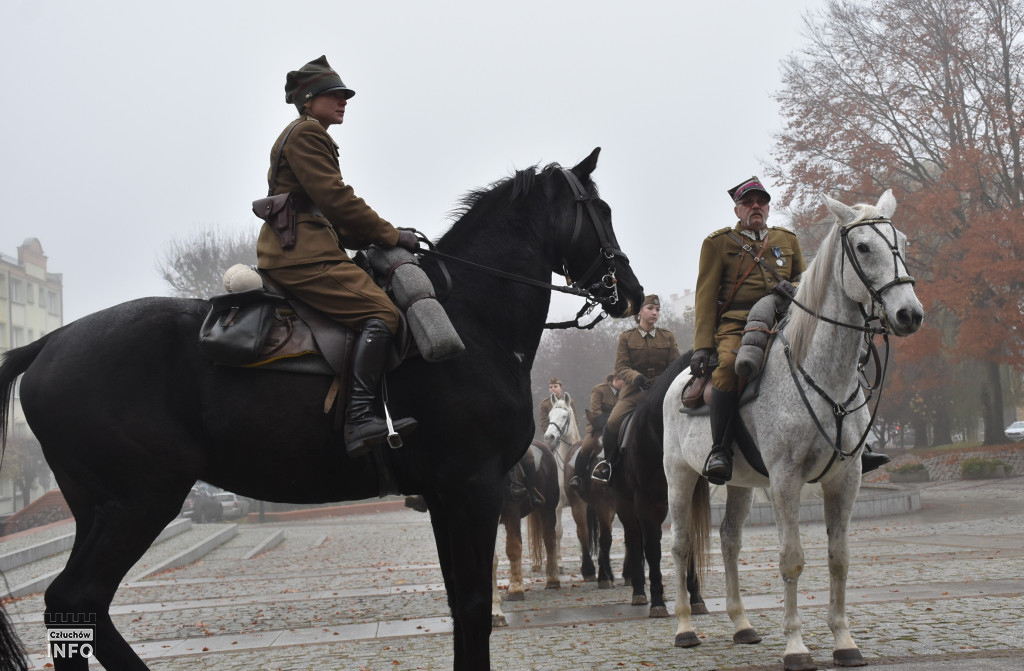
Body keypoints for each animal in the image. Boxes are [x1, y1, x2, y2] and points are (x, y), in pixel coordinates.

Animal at [0, 148, 638, 671]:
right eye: (601, 210)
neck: (473, 319)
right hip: (140, 500)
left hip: (98, 508)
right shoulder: (473, 486)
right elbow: (477, 607)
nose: (629, 291)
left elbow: (461, 604)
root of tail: (49, 343)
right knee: (77, 600)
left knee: (76, 608)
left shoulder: (443, 496)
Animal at [610, 352, 708, 618]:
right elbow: (652, 547)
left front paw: (696, 598)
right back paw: (639, 592)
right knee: (634, 540)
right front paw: (656, 601)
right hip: (625, 504)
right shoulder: (644, 501)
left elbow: (688, 541)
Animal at [659, 190, 925, 671]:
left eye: (903, 242)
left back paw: (742, 624)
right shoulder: (785, 480)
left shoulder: (846, 479)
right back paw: (685, 629)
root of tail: (679, 380)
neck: (826, 377)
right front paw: (797, 646)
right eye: (863, 248)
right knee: (682, 546)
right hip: (680, 477)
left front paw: (843, 640)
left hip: (741, 482)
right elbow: (792, 560)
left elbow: (838, 559)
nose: (909, 313)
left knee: (729, 540)